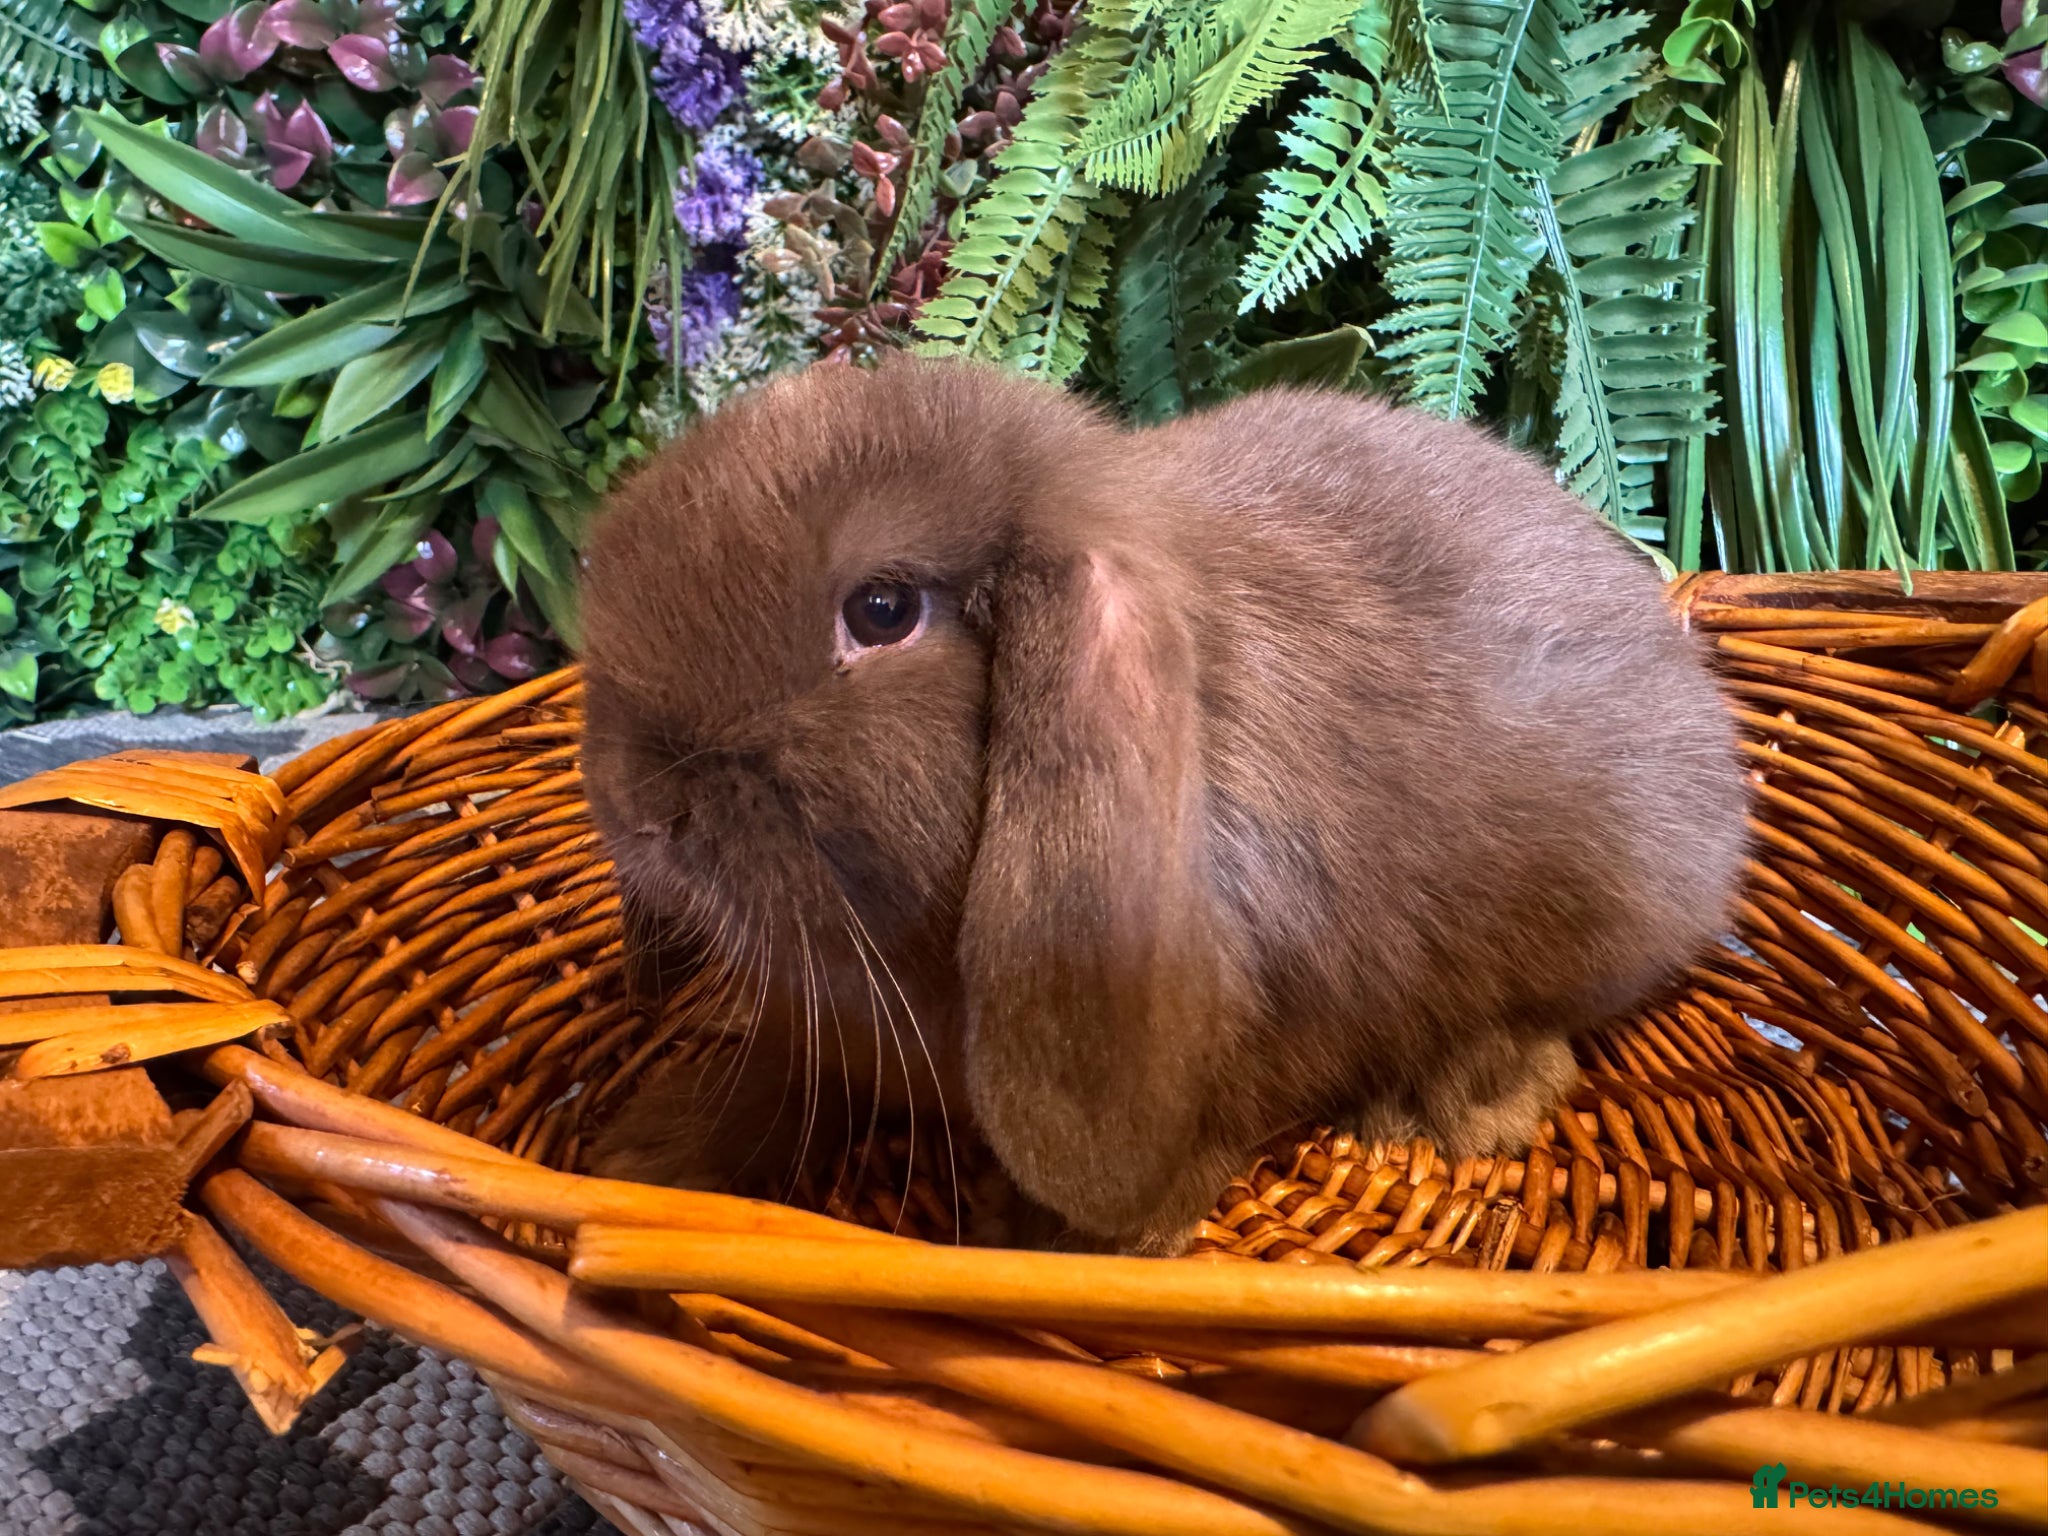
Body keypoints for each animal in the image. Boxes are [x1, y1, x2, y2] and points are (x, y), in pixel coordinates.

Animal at [576, 354, 1750, 1255]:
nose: (643, 807)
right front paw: (651, 1150)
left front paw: (1065, 1240)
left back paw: (1463, 1100)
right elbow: (778, 1078)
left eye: (881, 609)